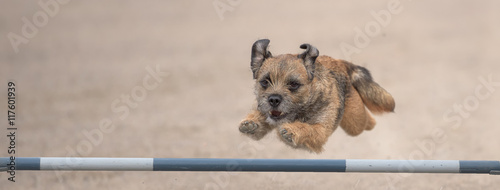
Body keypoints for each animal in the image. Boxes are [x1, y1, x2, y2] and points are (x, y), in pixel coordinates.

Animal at [238, 38, 394, 153]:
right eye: (265, 82)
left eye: (293, 84)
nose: (274, 99)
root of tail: (340, 62)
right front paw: (251, 123)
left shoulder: (321, 131)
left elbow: (307, 129)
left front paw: (291, 131)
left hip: (354, 120)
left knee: (367, 121)